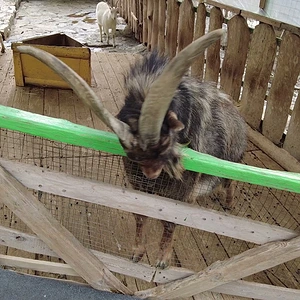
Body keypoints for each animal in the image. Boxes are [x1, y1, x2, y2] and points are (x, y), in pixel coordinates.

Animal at [17, 29, 246, 270]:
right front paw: (137, 252)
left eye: (165, 140)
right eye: (133, 154)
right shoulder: (139, 185)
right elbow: (140, 215)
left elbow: (170, 222)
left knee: (229, 182)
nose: (151, 173)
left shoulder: (179, 191)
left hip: (231, 163)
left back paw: (229, 203)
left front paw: (163, 259)